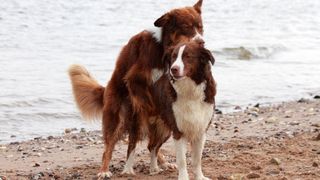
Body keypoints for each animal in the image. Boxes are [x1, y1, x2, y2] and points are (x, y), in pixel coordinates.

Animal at [153, 40, 218, 179]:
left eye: (187, 56)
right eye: (173, 57)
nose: (173, 69)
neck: (190, 91)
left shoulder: (201, 130)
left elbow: (197, 159)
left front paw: (199, 177)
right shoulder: (178, 131)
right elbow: (182, 160)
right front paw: (183, 177)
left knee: (152, 146)